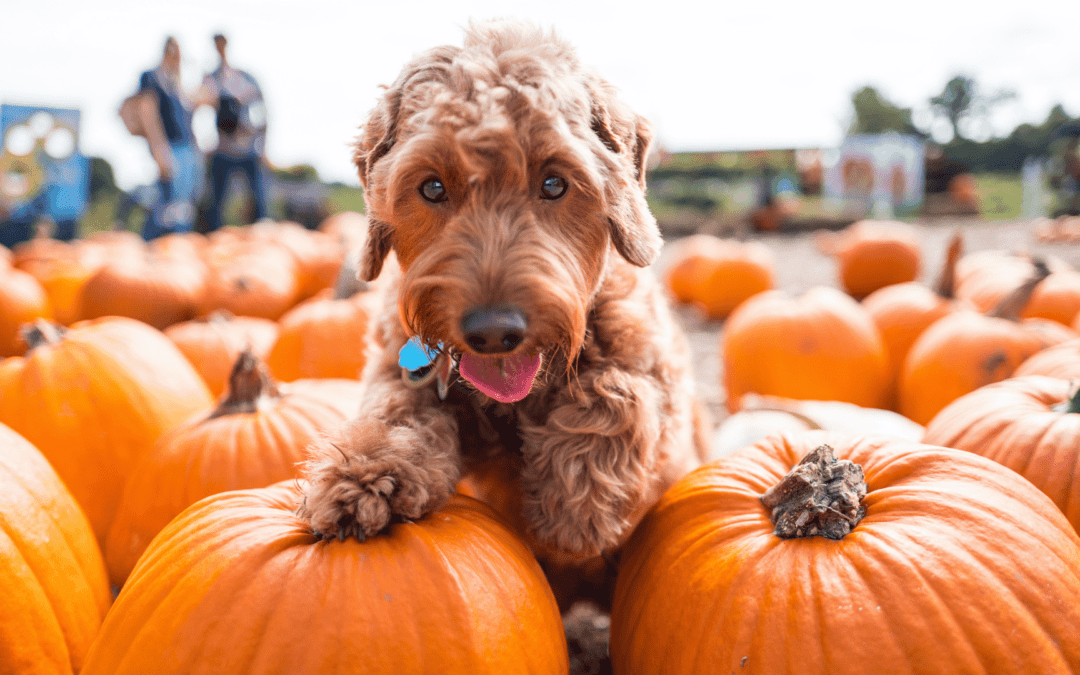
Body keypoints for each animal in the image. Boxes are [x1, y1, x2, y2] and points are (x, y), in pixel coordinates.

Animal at [300, 19, 712, 600]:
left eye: (554, 183)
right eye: (432, 186)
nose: (493, 332)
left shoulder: (657, 376)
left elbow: (621, 392)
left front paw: (576, 508)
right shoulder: (398, 367)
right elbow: (395, 412)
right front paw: (360, 480)